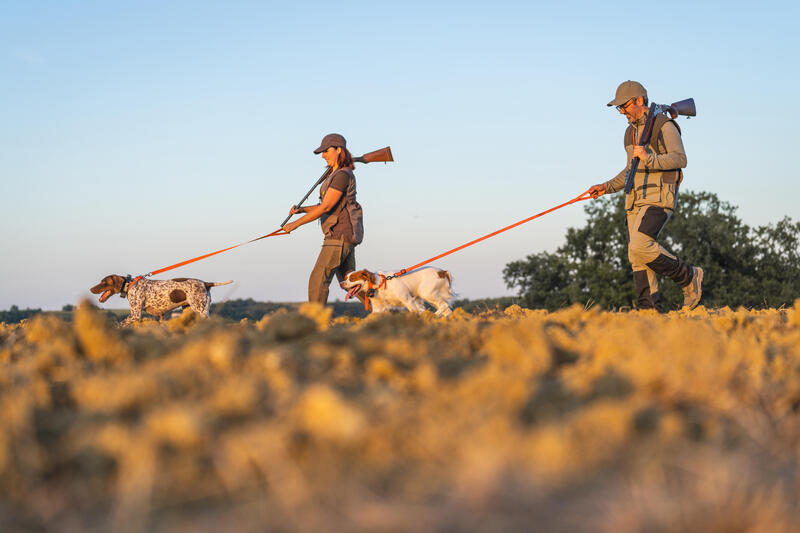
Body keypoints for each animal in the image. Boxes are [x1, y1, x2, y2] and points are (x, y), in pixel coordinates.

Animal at [92, 276, 234, 326]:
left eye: (103, 282)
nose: (91, 289)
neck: (129, 284)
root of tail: (205, 283)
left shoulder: (135, 314)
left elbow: (119, 325)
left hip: (201, 311)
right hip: (190, 310)